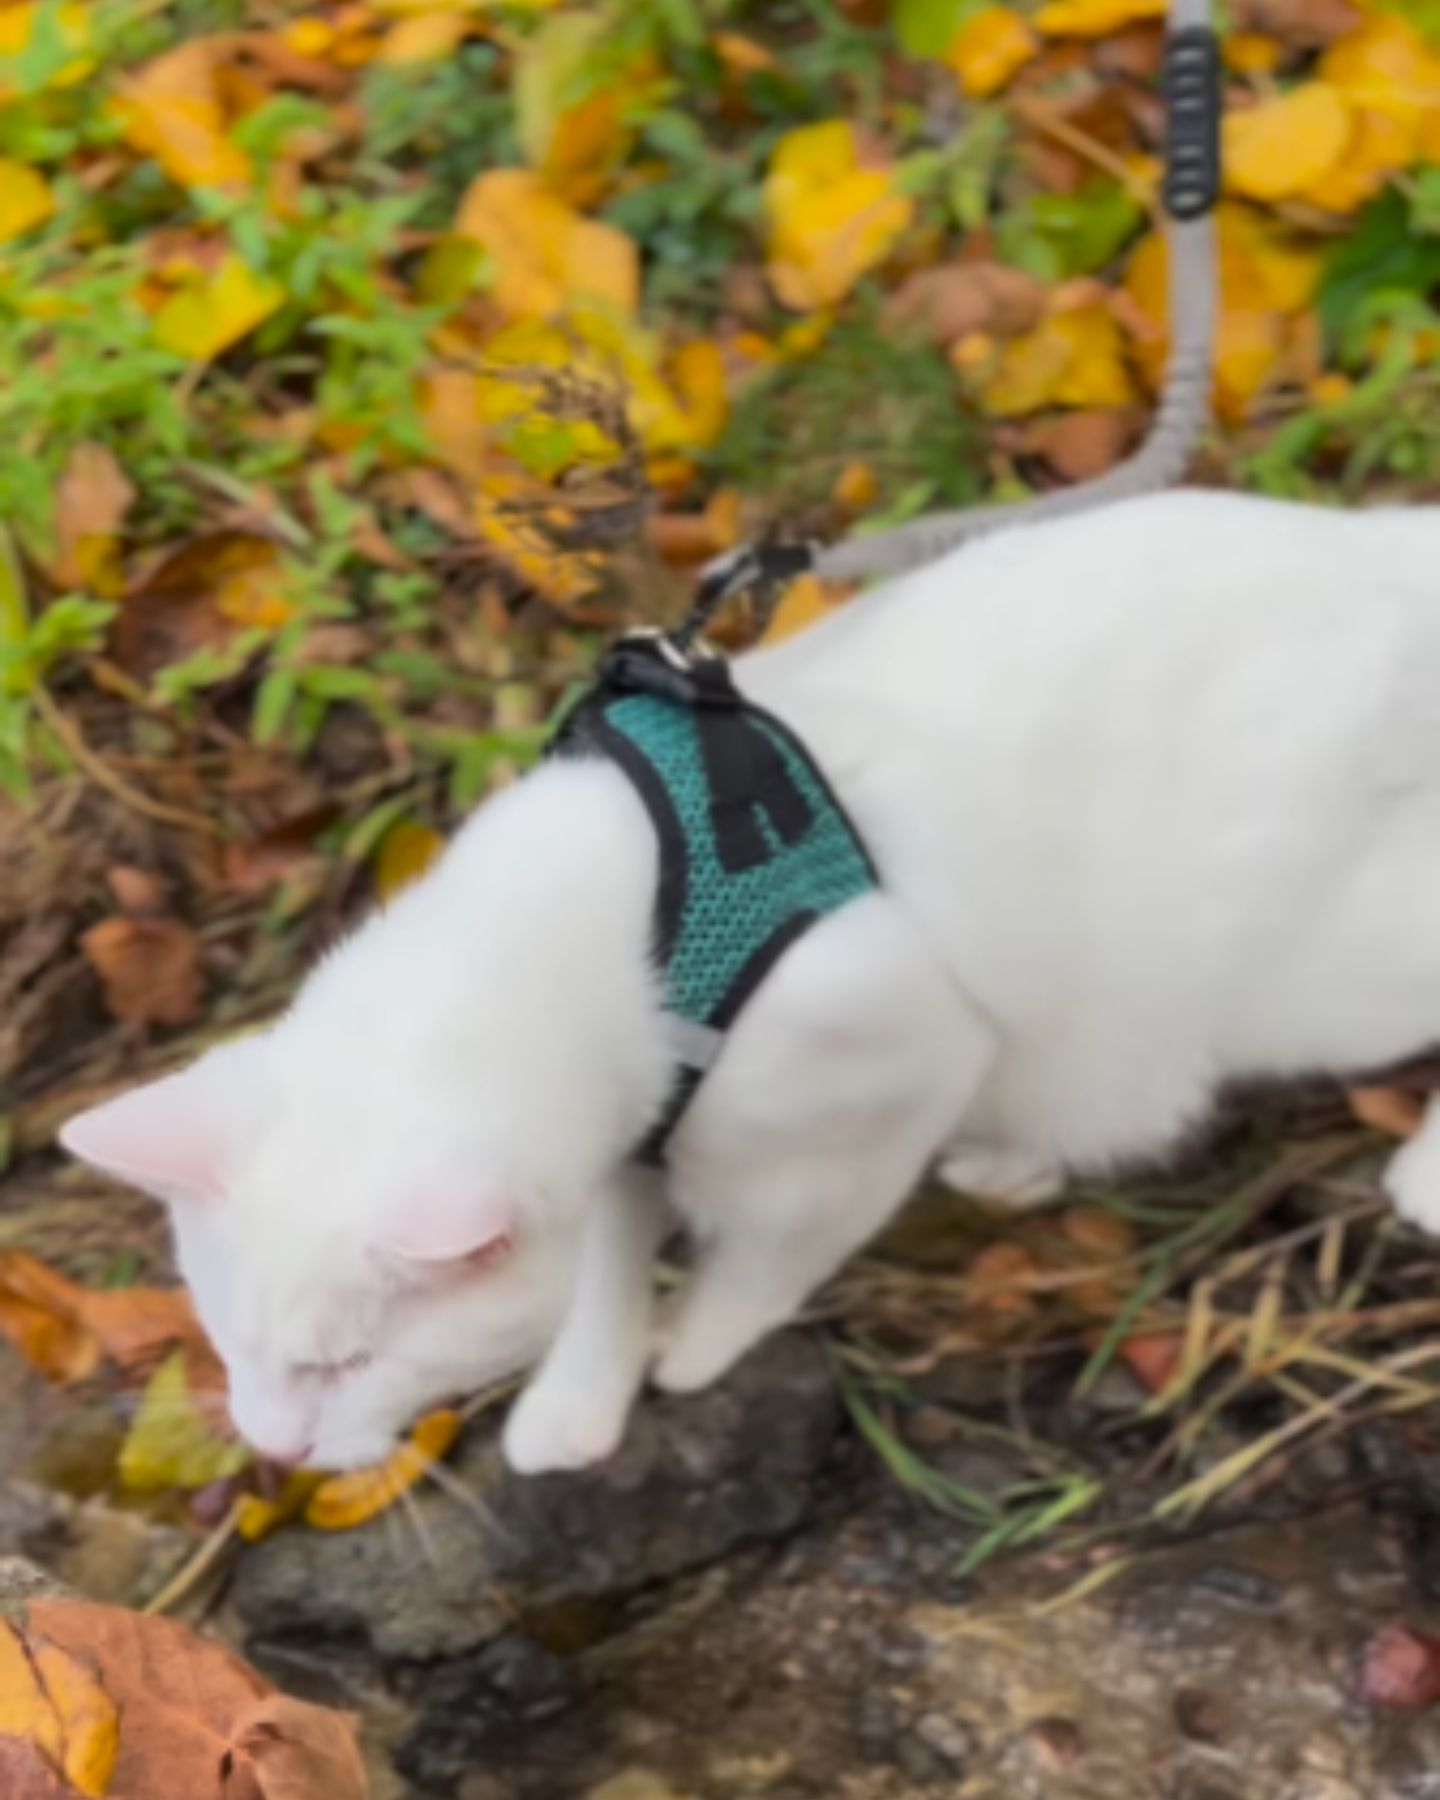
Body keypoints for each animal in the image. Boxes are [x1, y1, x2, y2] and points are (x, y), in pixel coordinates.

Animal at [64, 493, 1440, 1476]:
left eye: (346, 1365)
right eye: (229, 1345)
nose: (272, 1445)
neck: (638, 913)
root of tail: (1395, 548)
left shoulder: (880, 1085)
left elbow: (766, 1264)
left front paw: (691, 1353)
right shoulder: (630, 1142)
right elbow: (608, 1263)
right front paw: (581, 1399)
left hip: (1310, 970)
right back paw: (1018, 1162)